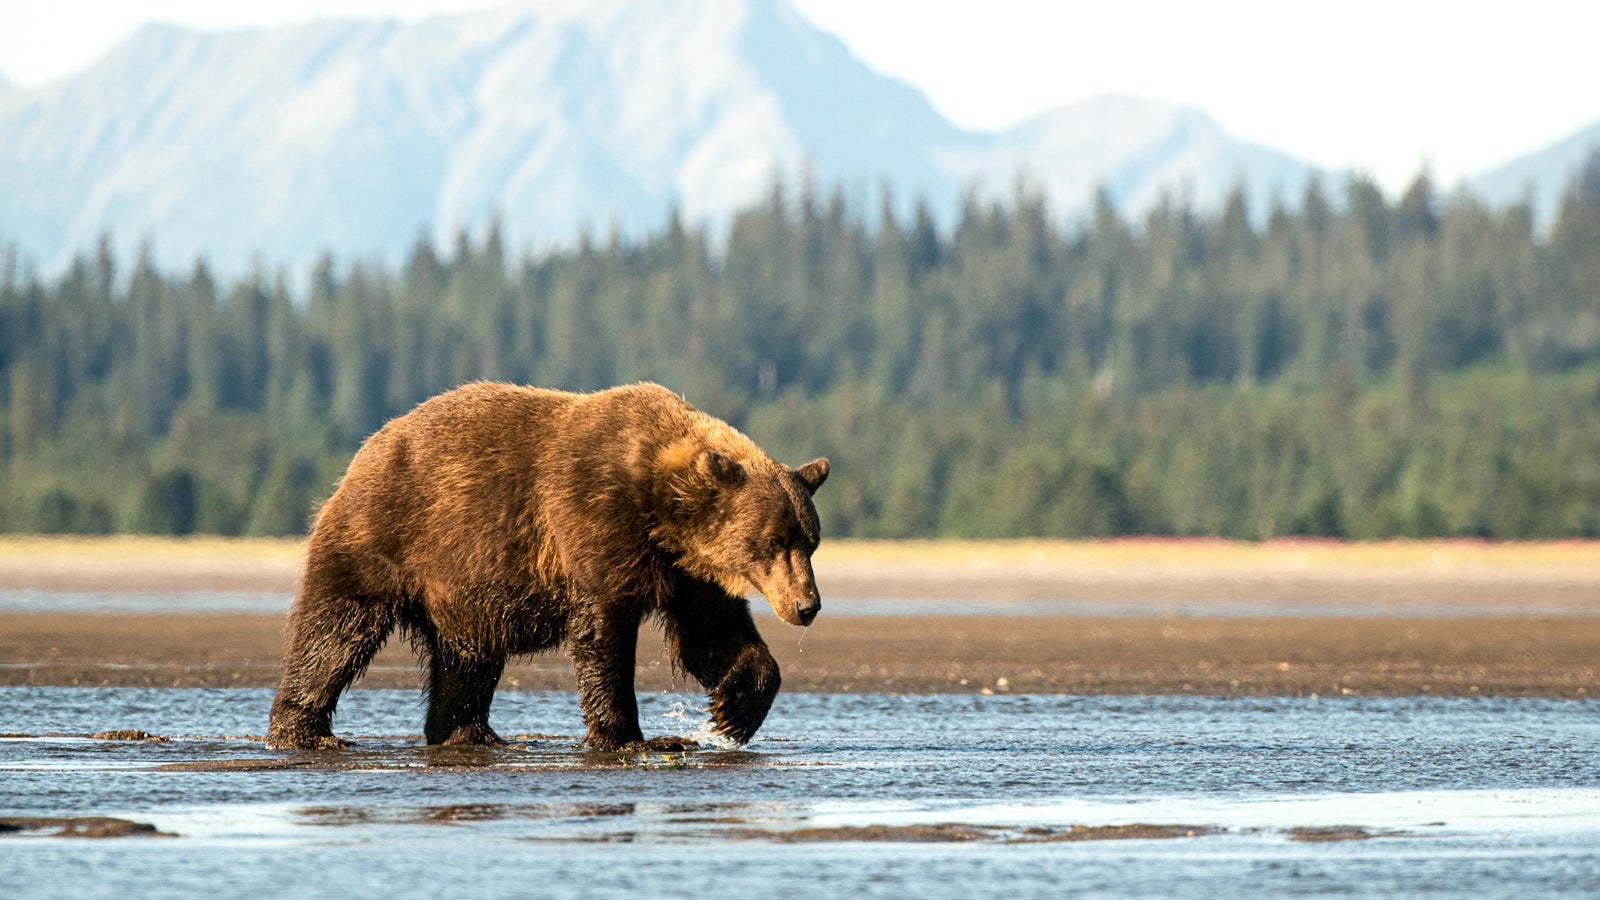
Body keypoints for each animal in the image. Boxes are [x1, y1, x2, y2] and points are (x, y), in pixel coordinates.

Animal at [265, 381, 828, 752]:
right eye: (774, 540)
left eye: (811, 541)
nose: (808, 605)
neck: (660, 509)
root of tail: (368, 448)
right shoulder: (594, 520)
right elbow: (603, 635)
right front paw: (633, 737)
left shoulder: (686, 571)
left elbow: (712, 634)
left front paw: (733, 711)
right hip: (387, 536)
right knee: (335, 631)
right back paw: (304, 732)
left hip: (464, 592)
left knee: (467, 661)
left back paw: (469, 733)